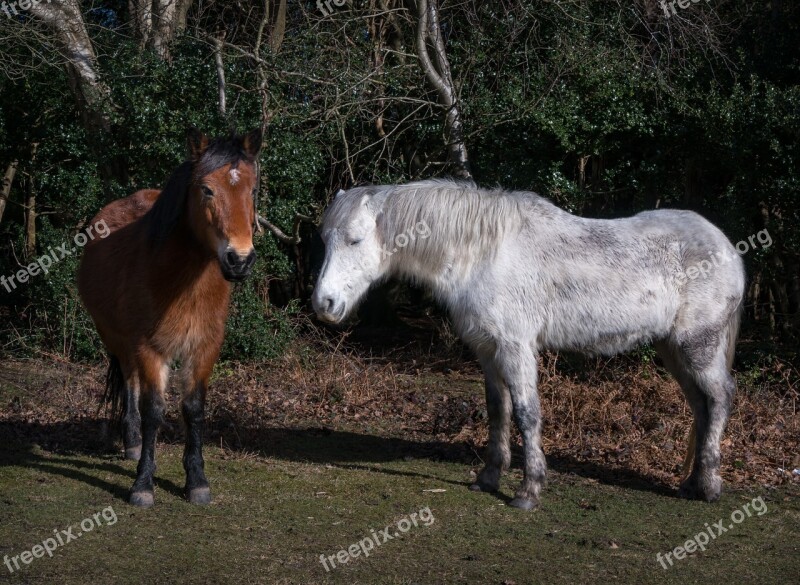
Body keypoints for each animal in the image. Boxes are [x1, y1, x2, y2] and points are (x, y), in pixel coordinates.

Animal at [77, 128, 260, 506]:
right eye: (207, 189)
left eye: (253, 191)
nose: (239, 259)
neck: (181, 281)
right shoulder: (149, 348)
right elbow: (154, 410)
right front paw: (143, 484)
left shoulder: (205, 348)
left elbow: (193, 408)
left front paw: (197, 481)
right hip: (117, 339)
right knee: (130, 382)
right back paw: (132, 443)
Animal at [310, 180, 744, 508]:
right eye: (325, 239)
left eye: (355, 240)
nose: (324, 304)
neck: (482, 253)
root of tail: (728, 248)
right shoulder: (487, 351)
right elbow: (497, 410)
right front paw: (488, 478)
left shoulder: (515, 347)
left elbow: (525, 413)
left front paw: (528, 491)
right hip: (673, 351)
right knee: (701, 405)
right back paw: (691, 484)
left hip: (698, 347)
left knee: (720, 397)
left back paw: (709, 487)